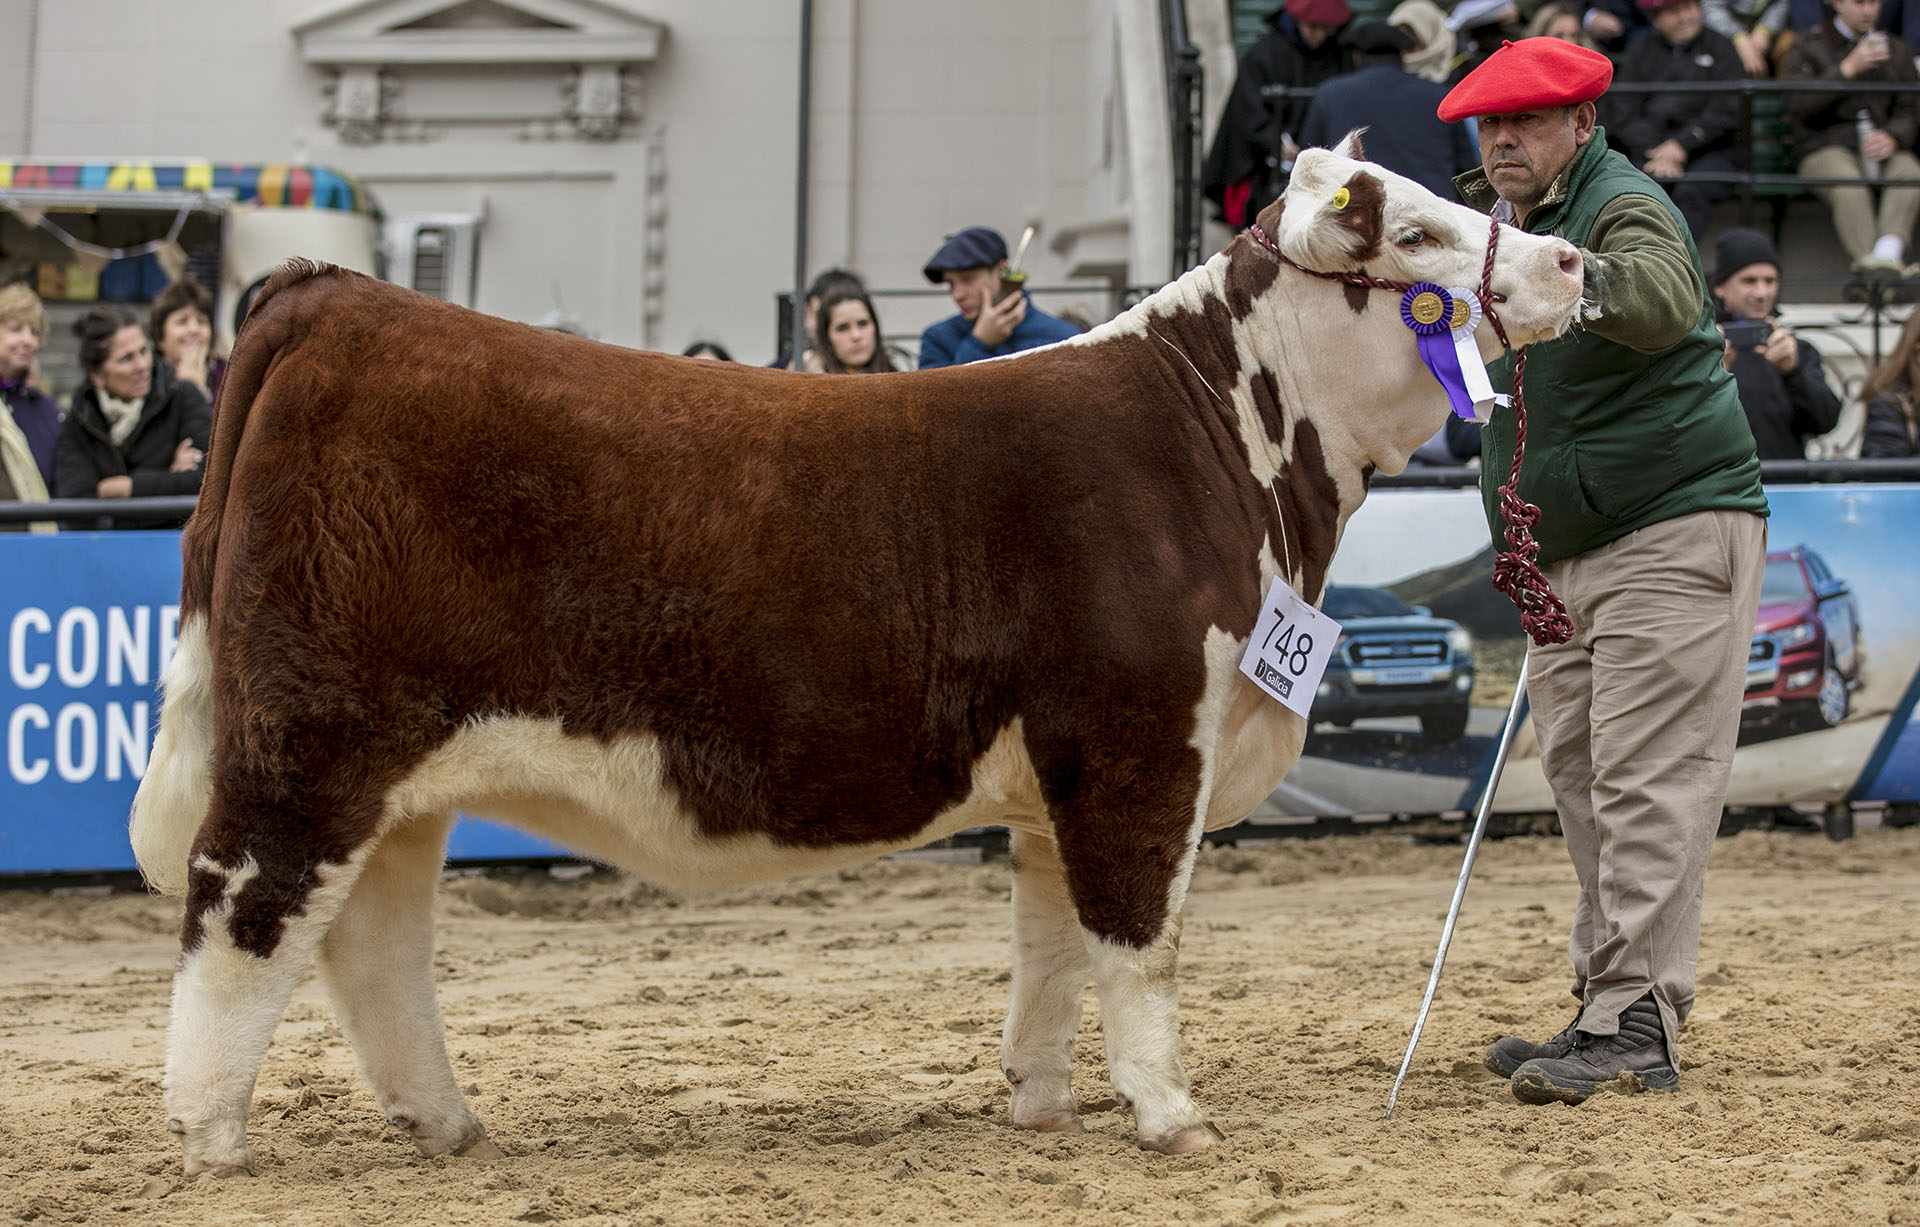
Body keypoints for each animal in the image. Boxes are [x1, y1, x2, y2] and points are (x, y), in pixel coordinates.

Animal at [127, 144, 1582, 1182]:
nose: (1569, 256)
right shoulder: (1139, 737)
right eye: (1419, 235)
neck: (1217, 440)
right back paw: (210, 1136)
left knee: (371, 934)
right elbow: (1139, 934)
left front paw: (1040, 1103)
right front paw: (1171, 1113)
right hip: (314, 737)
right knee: (242, 905)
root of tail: (335, 297)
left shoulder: (1062, 770)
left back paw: (444, 1122)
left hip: (403, 771)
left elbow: (1053, 940)